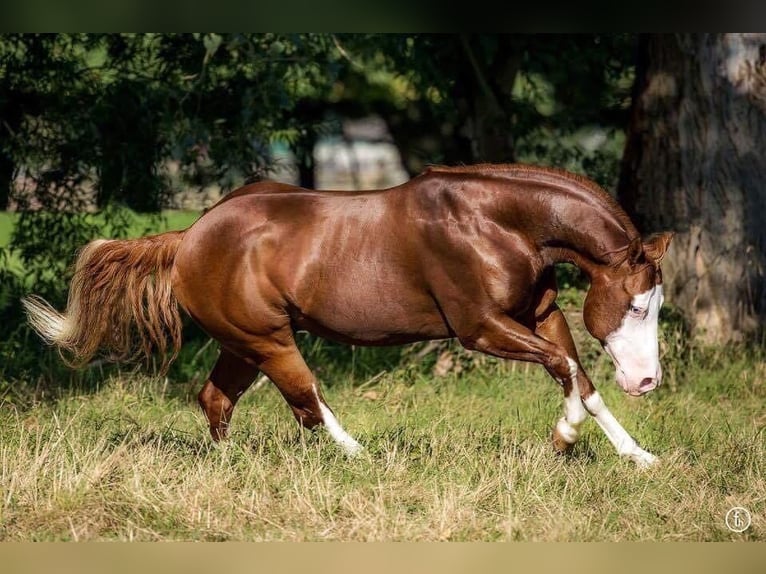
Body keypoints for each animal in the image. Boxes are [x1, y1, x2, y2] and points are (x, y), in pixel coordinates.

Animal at [22, 165, 672, 468]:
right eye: (637, 305)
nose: (647, 381)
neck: (498, 222)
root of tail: (190, 237)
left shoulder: (539, 315)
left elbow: (580, 379)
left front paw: (639, 456)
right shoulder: (480, 328)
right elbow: (566, 369)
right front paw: (563, 439)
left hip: (243, 345)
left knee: (217, 400)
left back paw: (230, 466)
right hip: (270, 340)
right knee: (307, 401)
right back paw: (362, 457)